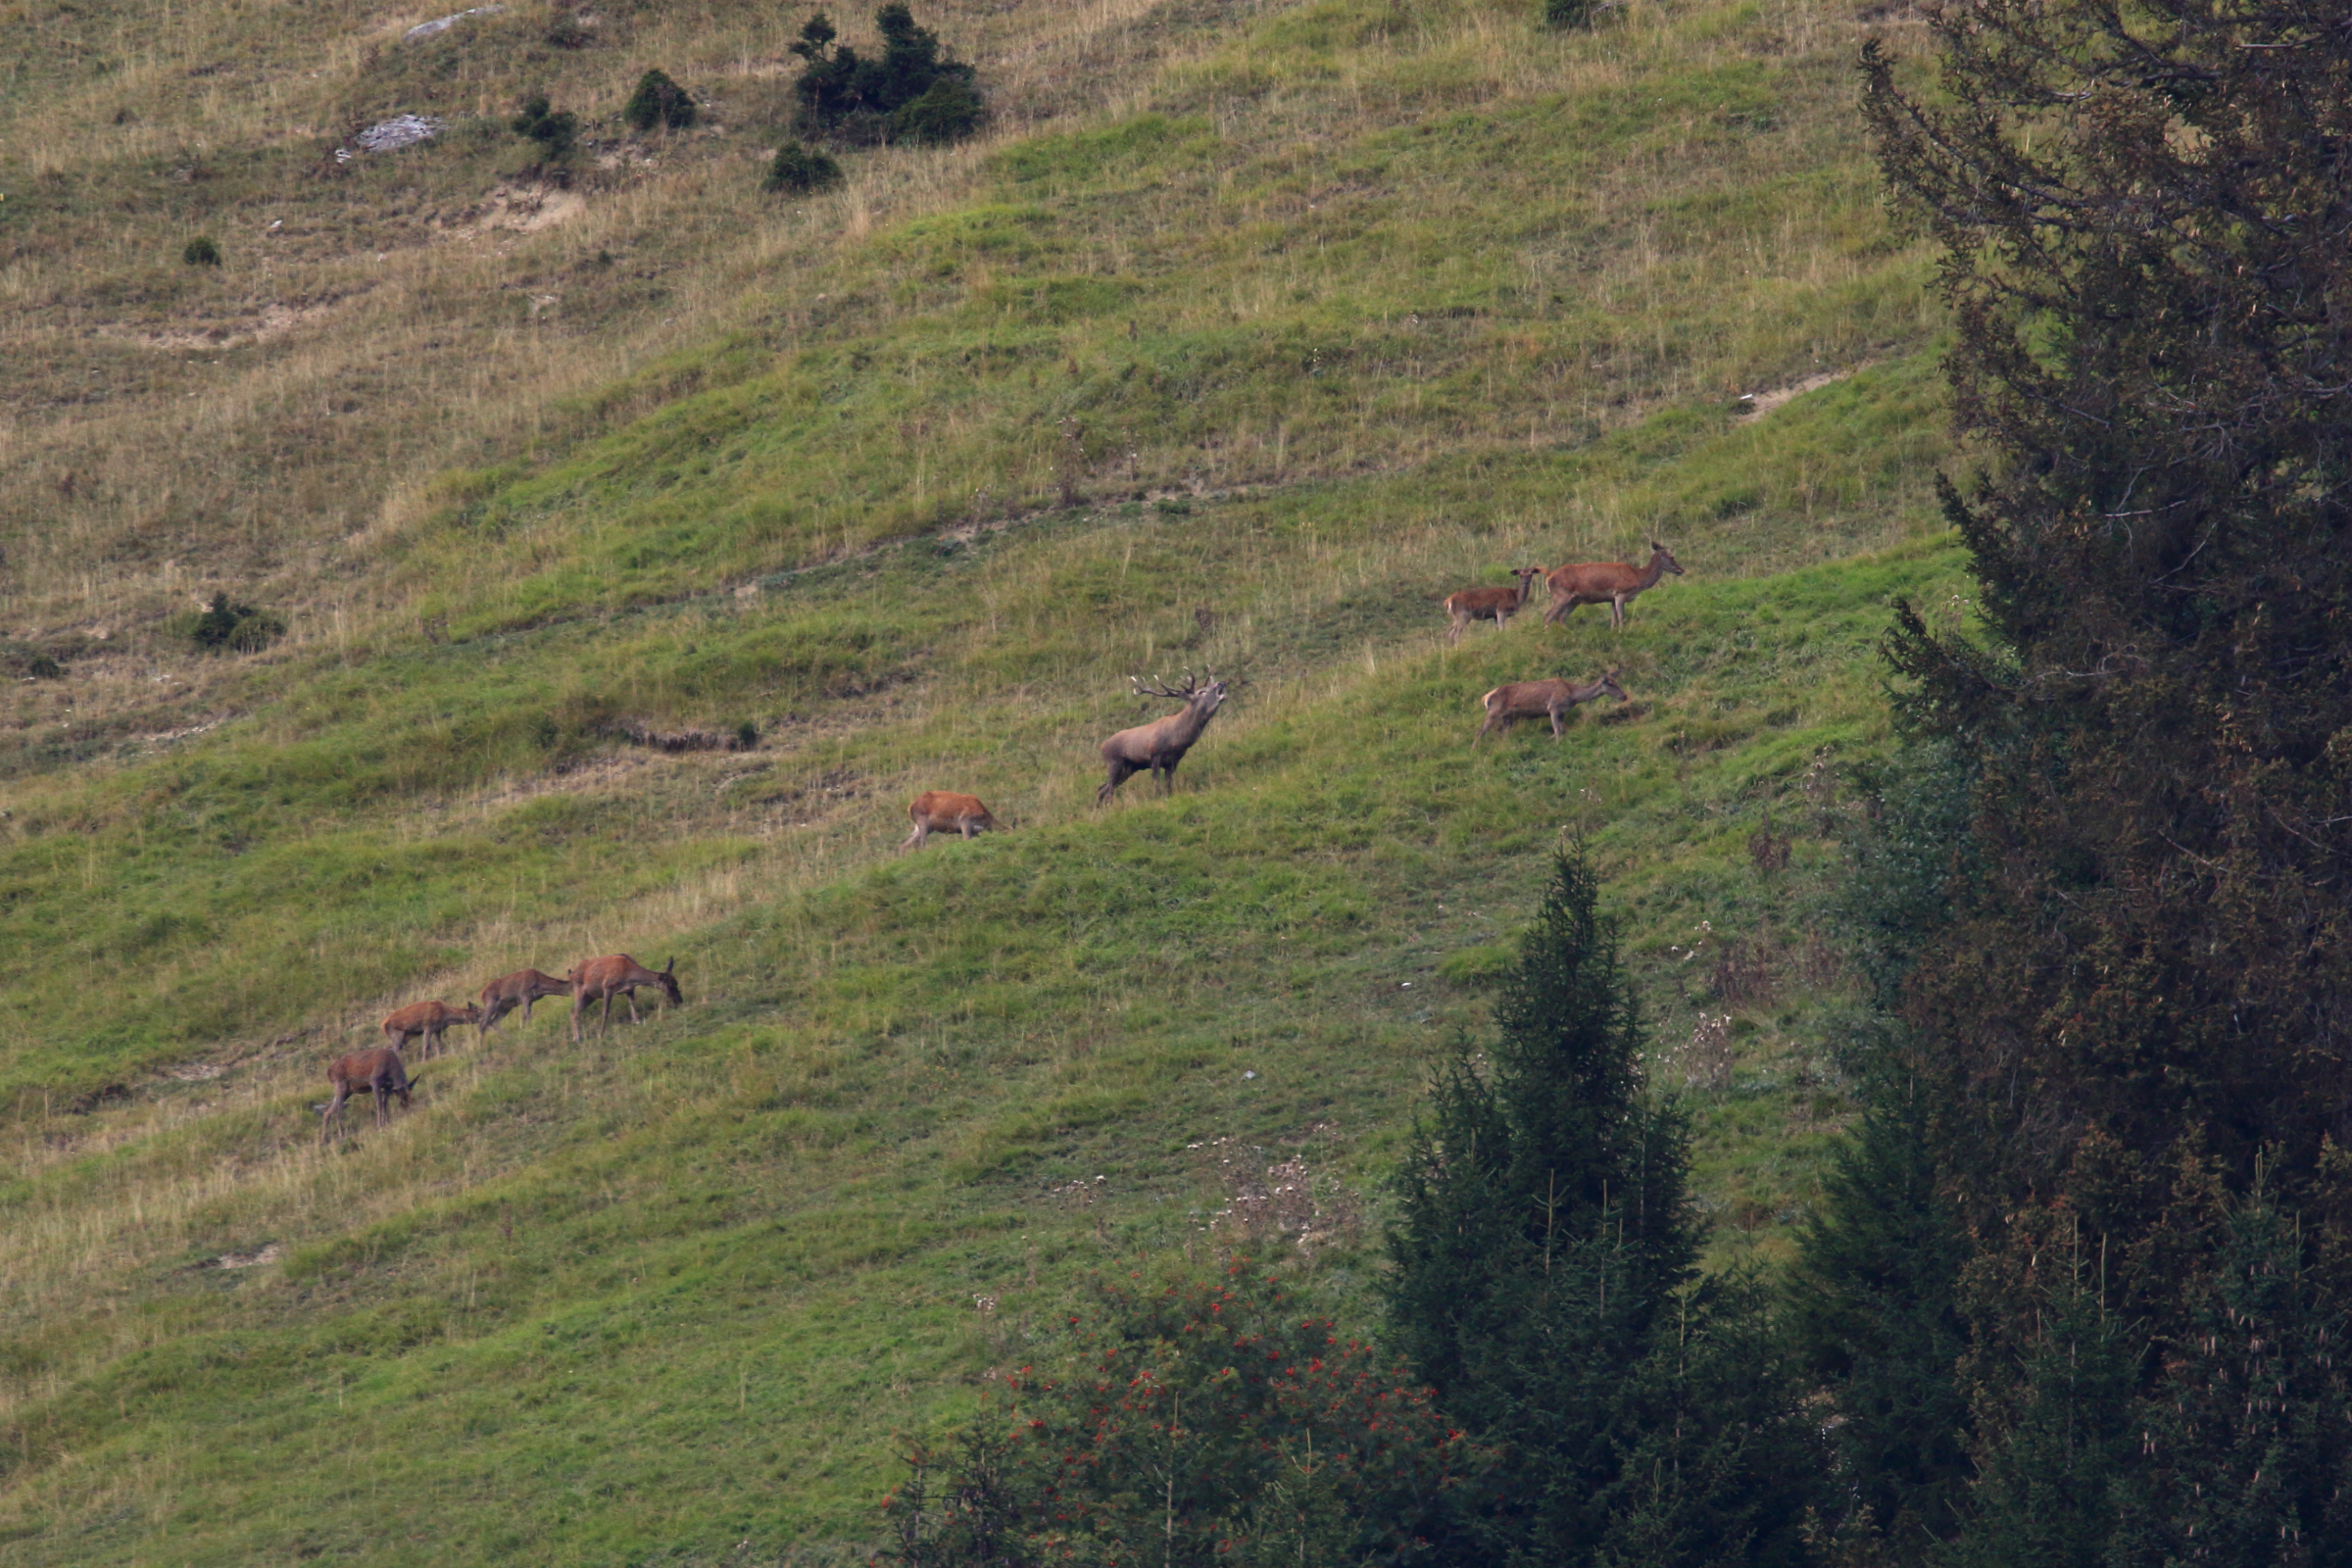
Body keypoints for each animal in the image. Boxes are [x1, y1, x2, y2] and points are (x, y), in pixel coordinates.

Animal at [1101, 667, 1242, 804]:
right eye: (1201, 692)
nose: (1220, 683)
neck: (1176, 740)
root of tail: (1102, 746)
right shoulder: (1155, 754)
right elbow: (1156, 782)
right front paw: (1156, 798)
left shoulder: (1173, 761)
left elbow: (1168, 784)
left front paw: (1168, 797)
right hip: (1114, 762)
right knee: (1109, 788)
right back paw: (1109, 806)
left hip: (1129, 768)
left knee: (1102, 788)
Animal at [1477, 667, 1627, 743]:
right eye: (1610, 684)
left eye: (1617, 682)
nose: (1624, 696)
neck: (1572, 695)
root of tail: (1485, 697)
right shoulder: (1553, 707)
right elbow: (1557, 731)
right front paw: (1556, 743)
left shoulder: (1562, 712)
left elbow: (1562, 729)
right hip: (1493, 712)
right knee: (1480, 732)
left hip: (1507, 718)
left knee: (1502, 733)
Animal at [1543, 545, 1693, 629]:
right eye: (1671, 557)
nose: (1681, 570)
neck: (1638, 577)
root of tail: (1549, 577)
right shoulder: (1621, 592)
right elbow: (1621, 616)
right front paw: (1622, 631)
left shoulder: (1611, 598)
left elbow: (1613, 617)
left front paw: (1613, 630)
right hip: (1562, 596)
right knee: (1548, 616)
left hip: (1574, 601)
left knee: (1561, 617)